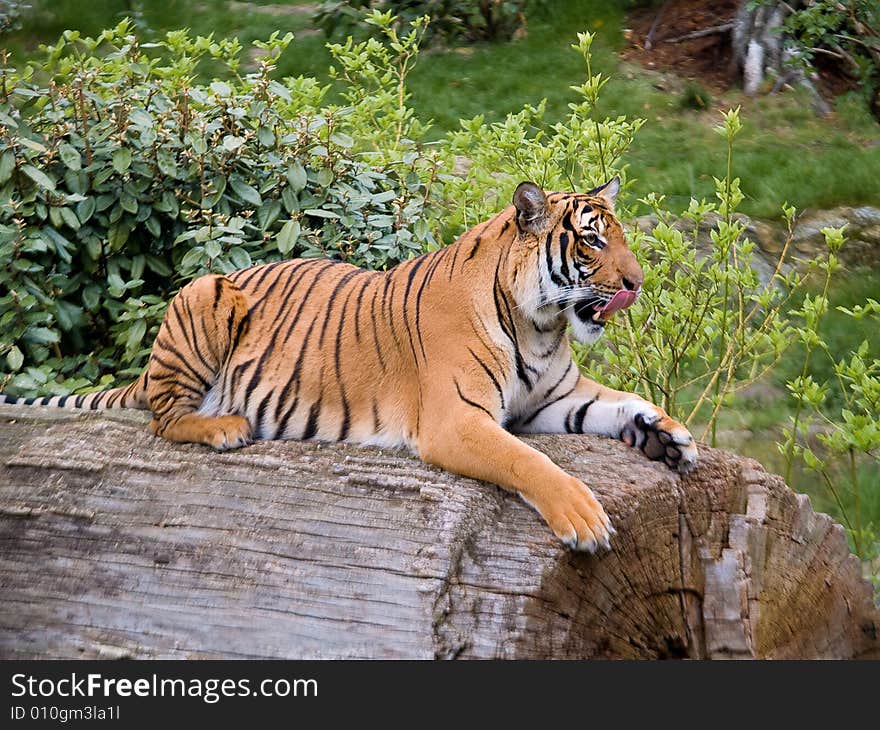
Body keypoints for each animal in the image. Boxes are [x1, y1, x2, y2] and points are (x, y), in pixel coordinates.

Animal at [3, 178, 696, 552]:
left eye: (623, 237)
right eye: (592, 241)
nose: (637, 283)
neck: (541, 326)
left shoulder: (555, 398)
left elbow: (623, 402)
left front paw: (670, 438)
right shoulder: (457, 421)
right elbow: (529, 461)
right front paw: (584, 517)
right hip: (204, 294)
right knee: (163, 418)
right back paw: (224, 427)